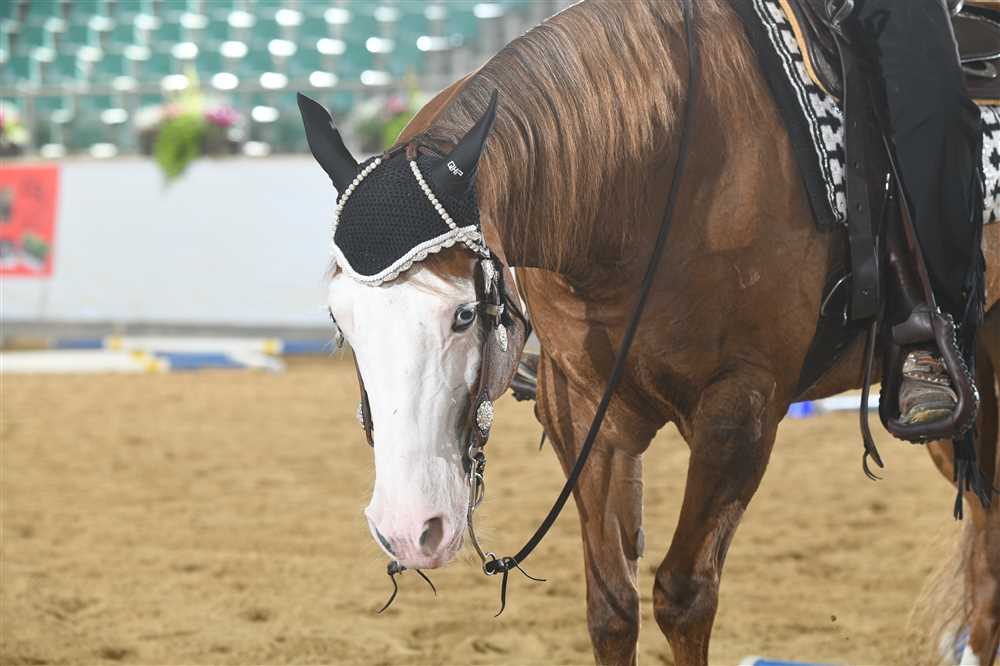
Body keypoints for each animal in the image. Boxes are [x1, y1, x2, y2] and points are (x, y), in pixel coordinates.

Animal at [301, 1, 1000, 664]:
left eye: (464, 314)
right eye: (341, 323)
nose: (407, 529)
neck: (649, 175)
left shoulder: (739, 408)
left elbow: (683, 596)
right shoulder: (582, 408)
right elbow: (612, 605)